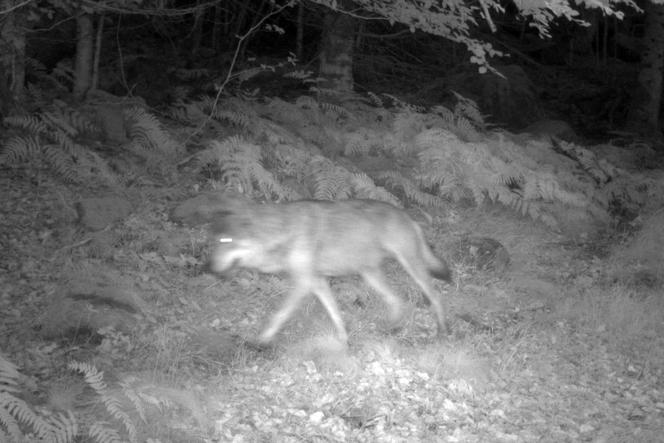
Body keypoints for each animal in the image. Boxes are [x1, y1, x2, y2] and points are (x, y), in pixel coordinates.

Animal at [206, 198, 452, 346]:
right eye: (214, 241)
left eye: (226, 241)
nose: (209, 268)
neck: (283, 231)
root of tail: (407, 216)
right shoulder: (317, 282)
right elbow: (335, 314)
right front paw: (344, 341)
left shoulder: (303, 283)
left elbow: (279, 315)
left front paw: (260, 342)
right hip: (370, 274)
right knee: (397, 300)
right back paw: (391, 330)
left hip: (410, 268)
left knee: (435, 297)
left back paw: (443, 331)